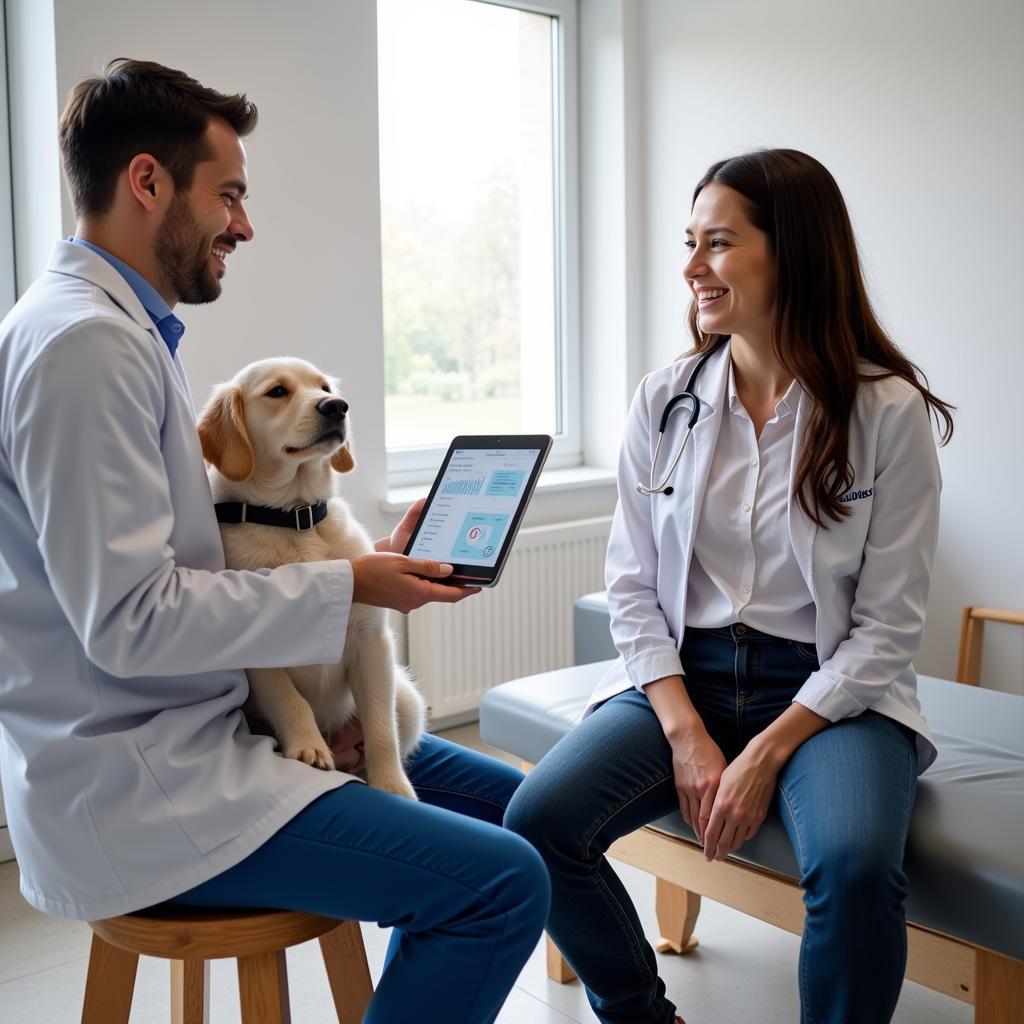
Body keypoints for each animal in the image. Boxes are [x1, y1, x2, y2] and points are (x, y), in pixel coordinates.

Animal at [195, 358, 423, 798]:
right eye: (277, 392)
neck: (294, 519)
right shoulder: (257, 647)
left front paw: (392, 786)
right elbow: (289, 699)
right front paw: (308, 747)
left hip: (407, 698)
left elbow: (381, 728)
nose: (337, 407)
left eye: (323, 387)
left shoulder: (371, 640)